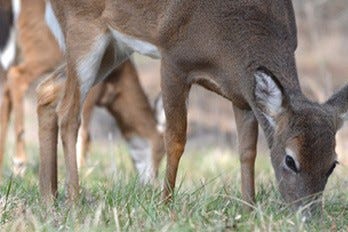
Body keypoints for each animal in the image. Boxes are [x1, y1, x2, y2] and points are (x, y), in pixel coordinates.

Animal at [44, 0, 346, 214]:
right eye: (290, 160)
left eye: (332, 164)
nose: (308, 215)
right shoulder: (174, 59)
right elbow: (176, 139)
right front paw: (165, 205)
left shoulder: (241, 95)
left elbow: (247, 151)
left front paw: (248, 208)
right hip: (84, 29)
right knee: (69, 112)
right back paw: (74, 199)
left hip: (114, 47)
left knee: (47, 89)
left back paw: (50, 194)